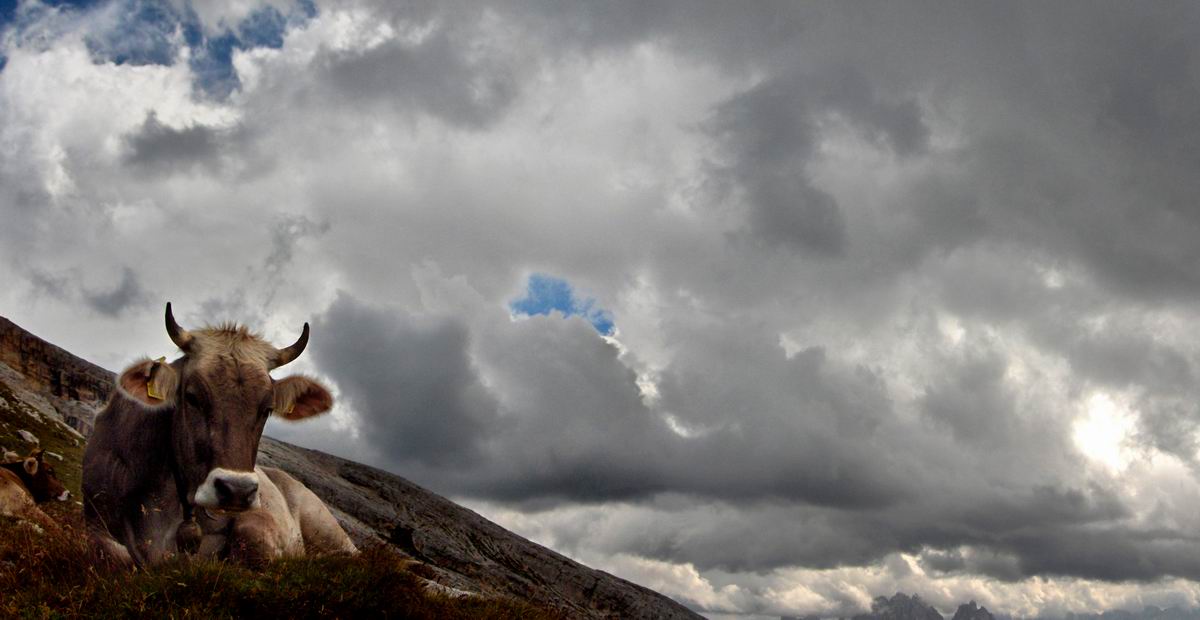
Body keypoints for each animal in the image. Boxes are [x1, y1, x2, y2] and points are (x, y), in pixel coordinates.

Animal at [83, 302, 355, 568]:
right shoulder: (96, 524)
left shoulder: (258, 517)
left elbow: (251, 538)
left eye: (267, 409)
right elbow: (112, 552)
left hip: (324, 525)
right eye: (192, 397)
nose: (237, 490)